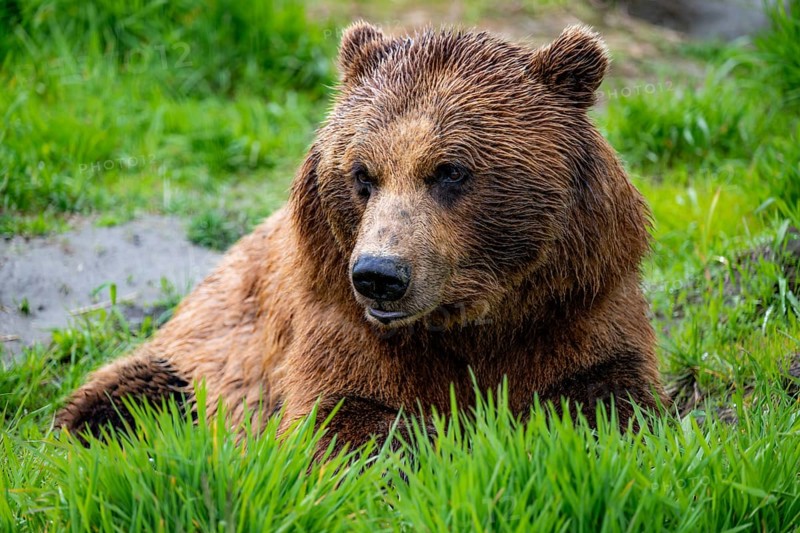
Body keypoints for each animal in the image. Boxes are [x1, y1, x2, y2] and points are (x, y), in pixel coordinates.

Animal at [56, 22, 666, 451]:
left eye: (449, 171)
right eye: (361, 174)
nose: (380, 275)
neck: (471, 322)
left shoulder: (577, 307)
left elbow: (610, 400)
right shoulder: (338, 320)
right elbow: (340, 417)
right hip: (205, 345)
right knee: (129, 397)